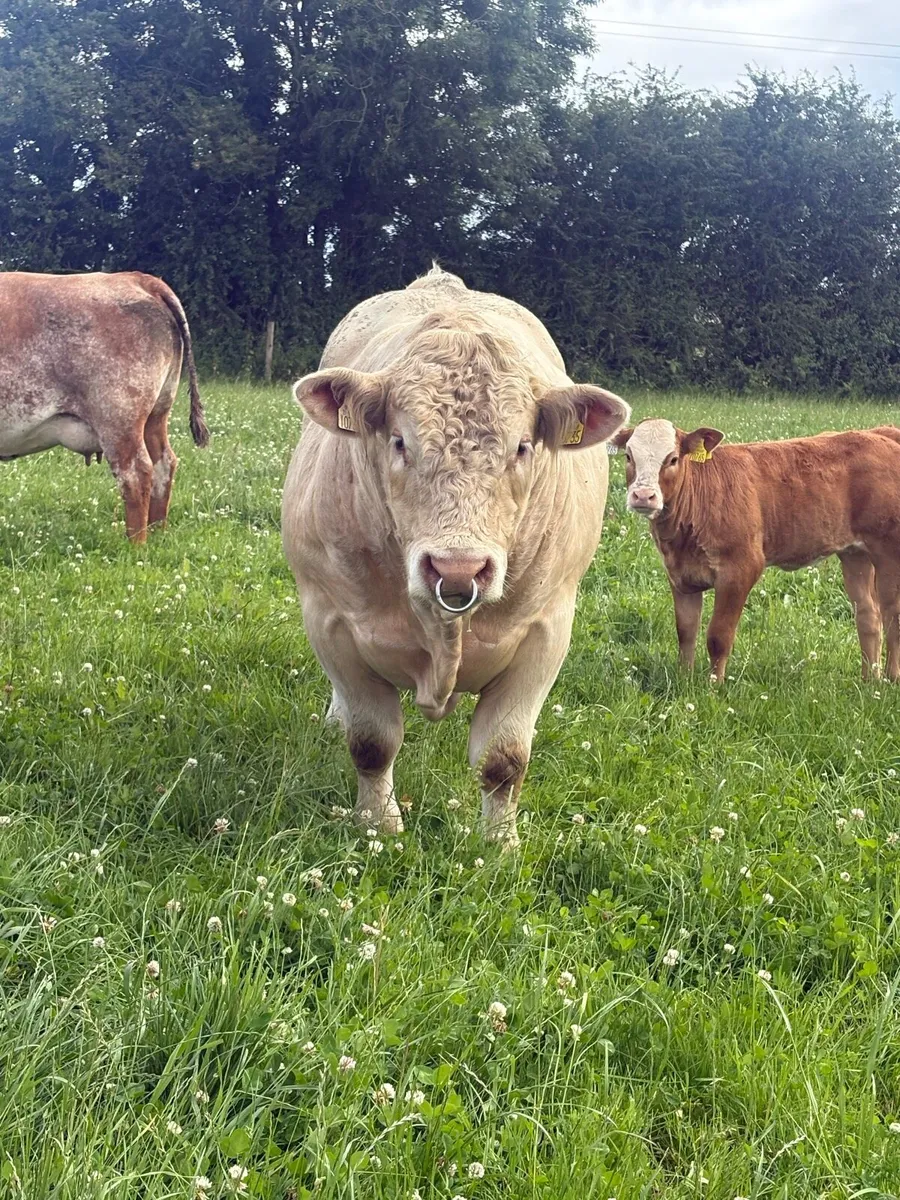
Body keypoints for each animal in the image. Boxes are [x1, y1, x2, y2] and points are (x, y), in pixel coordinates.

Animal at [0, 271, 209, 540]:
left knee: (136, 474)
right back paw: (157, 533)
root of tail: (139, 279)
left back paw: (135, 543)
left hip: (118, 419)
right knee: (164, 463)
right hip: (157, 412)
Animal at [282, 266, 630, 844]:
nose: (457, 568)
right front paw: (379, 826)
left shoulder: (546, 629)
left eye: (522, 447)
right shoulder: (330, 618)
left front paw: (500, 842)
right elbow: (371, 743)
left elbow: (504, 757)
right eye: (399, 441)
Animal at [612, 418, 900, 682]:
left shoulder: (740, 570)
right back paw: (869, 681)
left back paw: (890, 679)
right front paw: (684, 681)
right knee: (869, 615)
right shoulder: (680, 576)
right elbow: (686, 632)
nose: (643, 496)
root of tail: (881, 432)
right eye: (628, 456)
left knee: (892, 616)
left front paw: (713, 687)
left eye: (672, 459)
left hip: (889, 551)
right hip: (855, 553)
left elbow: (718, 636)